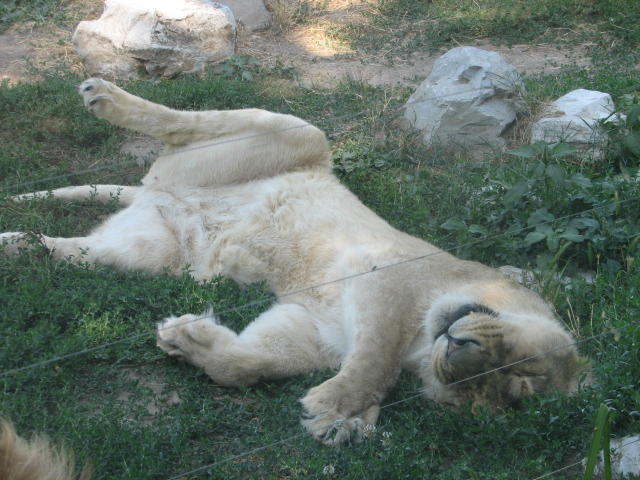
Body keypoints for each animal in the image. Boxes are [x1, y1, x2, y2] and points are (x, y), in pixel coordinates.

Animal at [1, 78, 589, 446]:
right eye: (521, 367)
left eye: (492, 390)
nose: (459, 351)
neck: (423, 346)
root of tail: (155, 190)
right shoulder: (386, 277)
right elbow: (376, 357)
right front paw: (339, 409)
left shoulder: (313, 329)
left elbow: (248, 364)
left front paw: (186, 339)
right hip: (296, 133)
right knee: (183, 121)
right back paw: (102, 96)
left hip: (154, 253)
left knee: (77, 250)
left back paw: (19, 243)